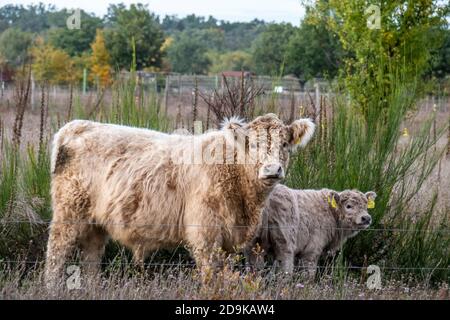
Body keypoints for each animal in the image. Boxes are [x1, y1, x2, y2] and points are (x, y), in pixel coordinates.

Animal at [44, 113, 312, 284]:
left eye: (285, 144)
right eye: (253, 145)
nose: (272, 169)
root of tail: (79, 124)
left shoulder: (229, 241)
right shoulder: (205, 237)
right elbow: (210, 278)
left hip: (95, 224)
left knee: (91, 260)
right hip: (68, 215)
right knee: (55, 257)